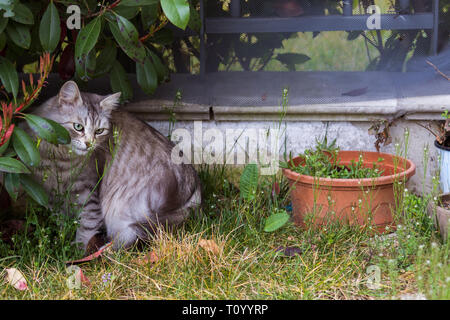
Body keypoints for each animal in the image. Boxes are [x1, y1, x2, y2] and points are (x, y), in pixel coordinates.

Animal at [30, 81, 202, 251]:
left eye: (99, 131)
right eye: (78, 127)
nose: (89, 144)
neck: (60, 160)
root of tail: (194, 190)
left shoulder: (88, 193)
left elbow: (86, 226)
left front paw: (78, 251)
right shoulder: (51, 196)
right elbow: (62, 223)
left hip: (125, 211)